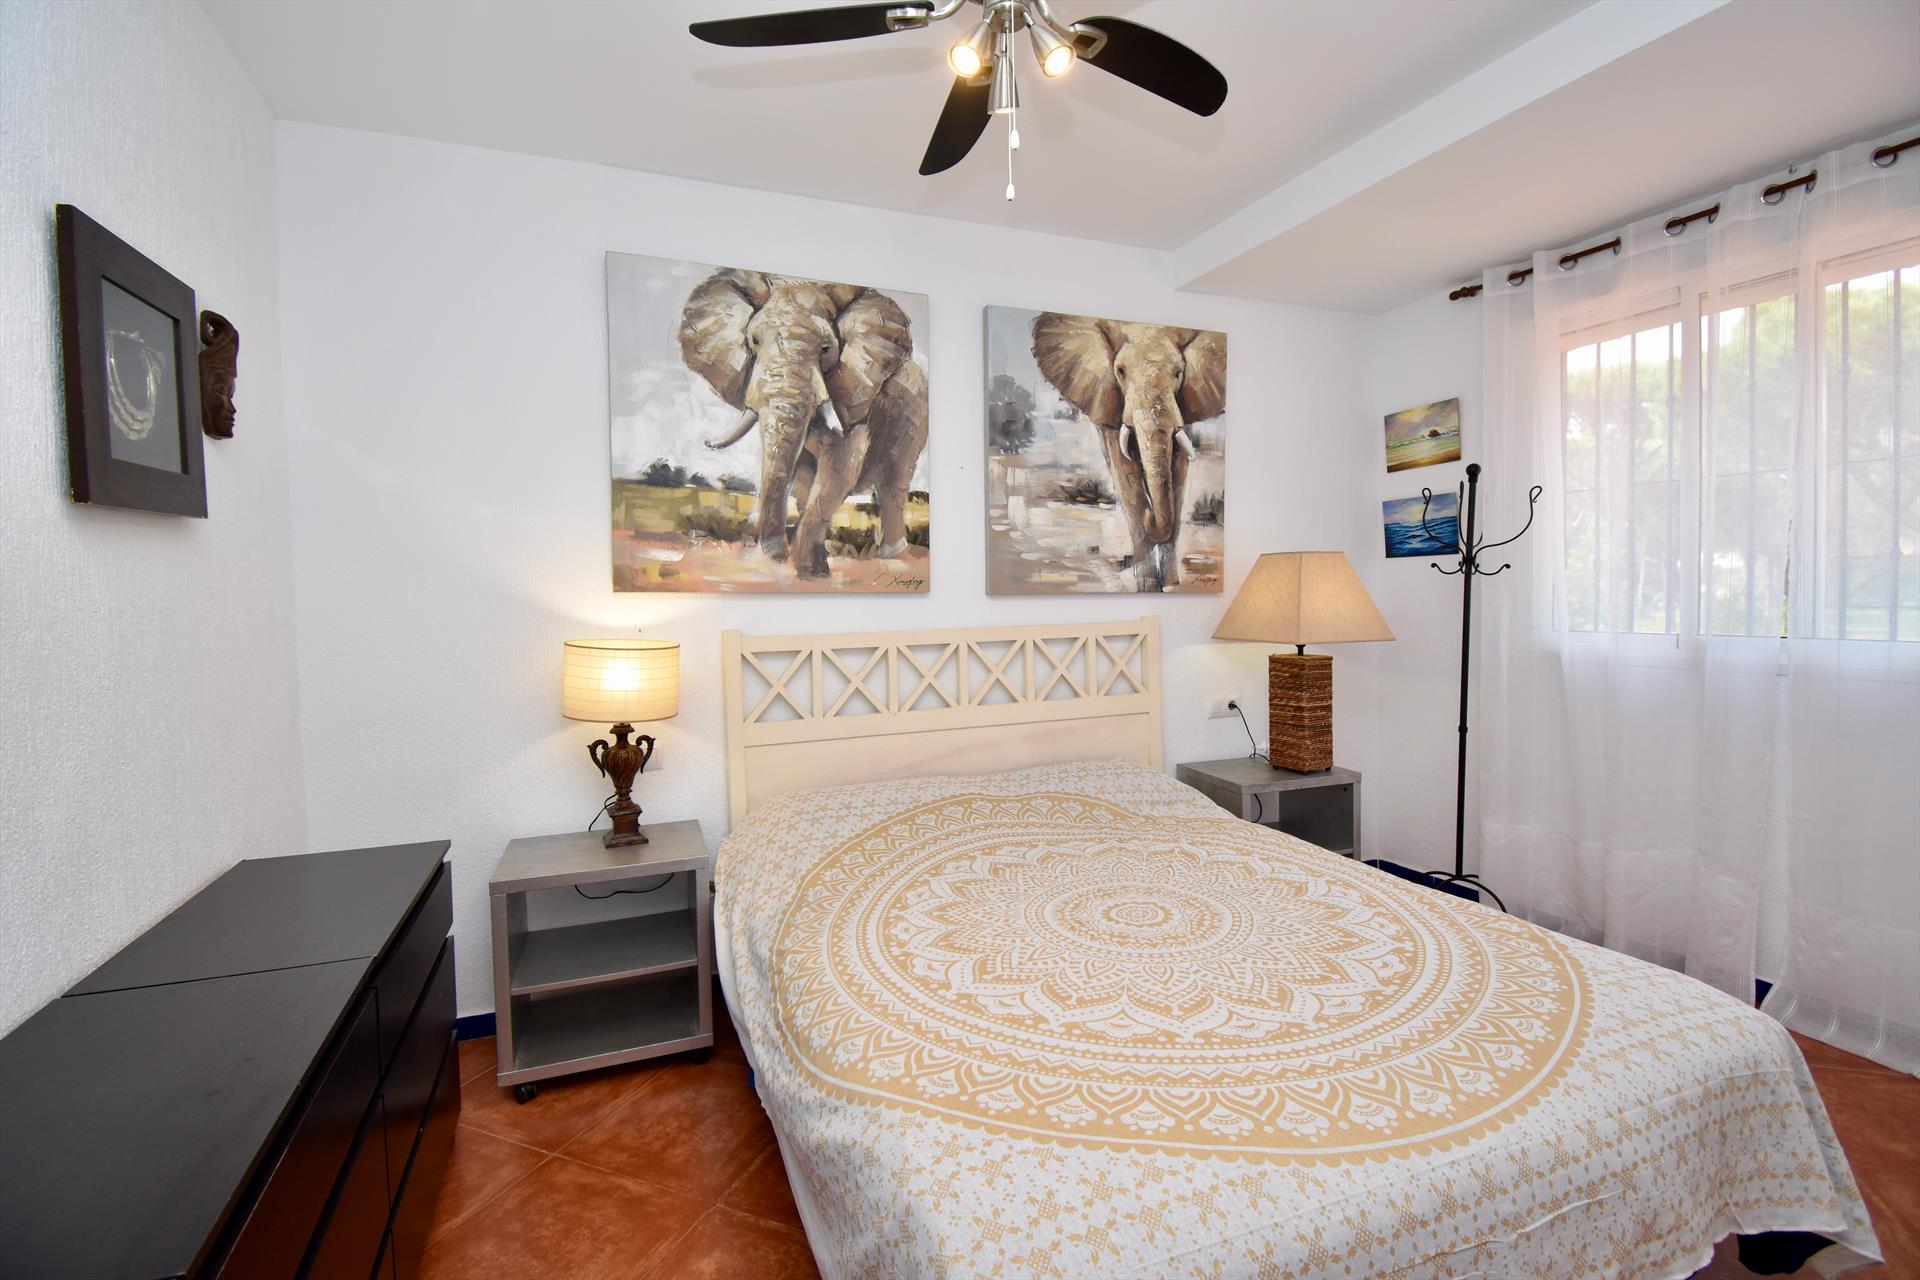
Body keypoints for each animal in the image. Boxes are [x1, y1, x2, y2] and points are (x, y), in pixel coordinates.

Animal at [678, 270, 928, 578]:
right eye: (754, 340)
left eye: (826, 349)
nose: (776, 556)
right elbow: (798, 473)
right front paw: (804, 563)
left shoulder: (855, 391)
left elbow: (842, 463)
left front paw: (813, 573)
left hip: (913, 419)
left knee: (894, 482)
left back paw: (891, 557)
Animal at [1031, 313, 1227, 591]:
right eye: (1120, 371)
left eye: (1178, 373)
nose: (1150, 513)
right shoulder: (1107, 399)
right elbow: (1125, 473)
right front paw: (1147, 584)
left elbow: (1178, 472)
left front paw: (1170, 584)